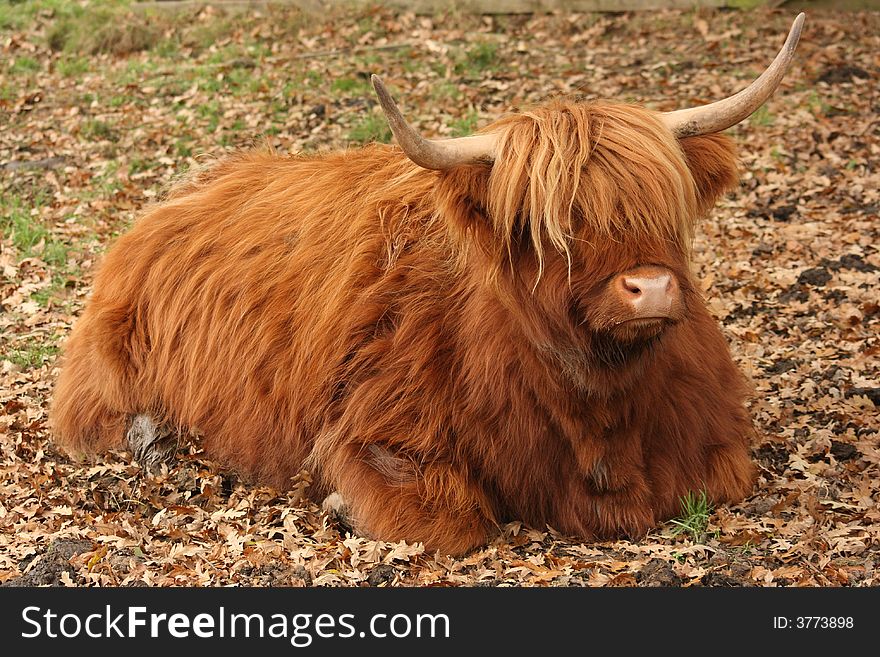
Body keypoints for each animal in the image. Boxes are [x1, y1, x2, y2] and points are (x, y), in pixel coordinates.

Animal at [48, 16, 804, 552]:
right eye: (543, 226)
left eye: (664, 210)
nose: (649, 287)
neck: (596, 405)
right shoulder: (377, 425)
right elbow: (448, 523)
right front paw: (339, 501)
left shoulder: (714, 441)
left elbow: (725, 476)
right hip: (107, 365)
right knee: (90, 420)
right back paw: (156, 443)